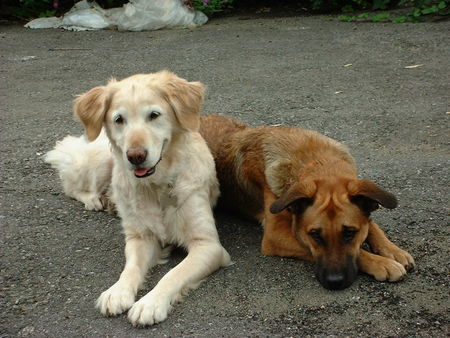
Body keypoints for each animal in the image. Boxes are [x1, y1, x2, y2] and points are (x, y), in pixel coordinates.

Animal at [45, 72, 230, 328]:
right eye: (119, 119)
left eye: (154, 115)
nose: (135, 156)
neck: (157, 185)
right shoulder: (141, 237)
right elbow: (130, 268)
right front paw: (117, 292)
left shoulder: (208, 245)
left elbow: (173, 274)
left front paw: (149, 303)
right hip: (101, 161)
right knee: (71, 184)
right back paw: (94, 200)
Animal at [200, 114, 414, 290]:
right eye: (315, 235)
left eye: (350, 233)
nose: (334, 282)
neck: (318, 162)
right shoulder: (275, 236)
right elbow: (359, 251)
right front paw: (382, 263)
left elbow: (373, 226)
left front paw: (393, 251)